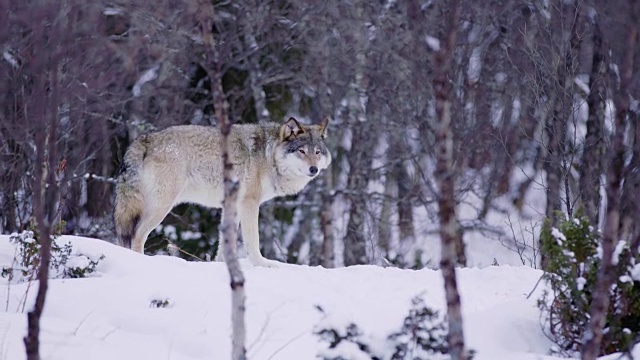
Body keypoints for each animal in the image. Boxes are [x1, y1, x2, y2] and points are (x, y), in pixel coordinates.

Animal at [114, 116, 330, 266]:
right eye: (302, 151)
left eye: (317, 152)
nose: (314, 169)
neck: (269, 156)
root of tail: (145, 138)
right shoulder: (249, 203)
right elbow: (253, 240)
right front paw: (262, 265)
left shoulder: (232, 205)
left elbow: (225, 244)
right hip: (162, 207)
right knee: (137, 235)